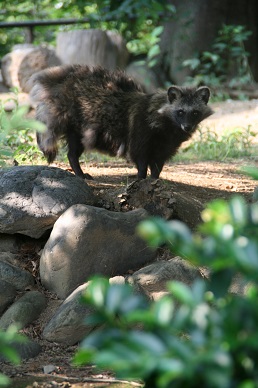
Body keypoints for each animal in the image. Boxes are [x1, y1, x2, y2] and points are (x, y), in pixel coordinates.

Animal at [29, 64, 213, 180]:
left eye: (195, 113)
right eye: (180, 112)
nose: (187, 127)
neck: (170, 127)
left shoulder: (167, 143)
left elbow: (158, 162)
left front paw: (154, 178)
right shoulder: (141, 131)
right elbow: (140, 157)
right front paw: (141, 177)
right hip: (75, 118)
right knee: (73, 150)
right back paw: (78, 170)